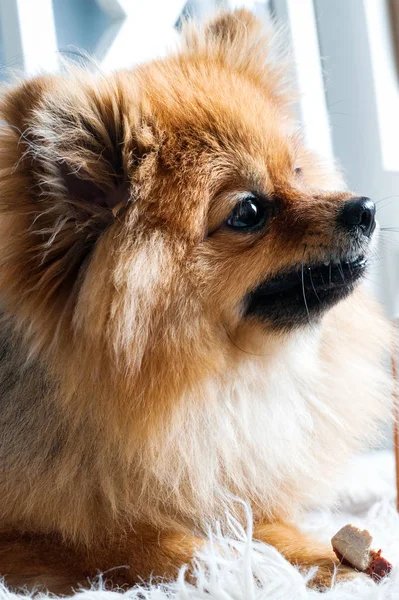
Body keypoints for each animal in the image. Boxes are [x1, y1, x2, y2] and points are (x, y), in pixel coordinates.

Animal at [0, 9, 392, 596]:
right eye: (248, 211)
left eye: (298, 172)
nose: (365, 207)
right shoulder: (31, 532)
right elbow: (122, 539)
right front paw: (237, 566)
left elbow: (262, 518)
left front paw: (326, 556)